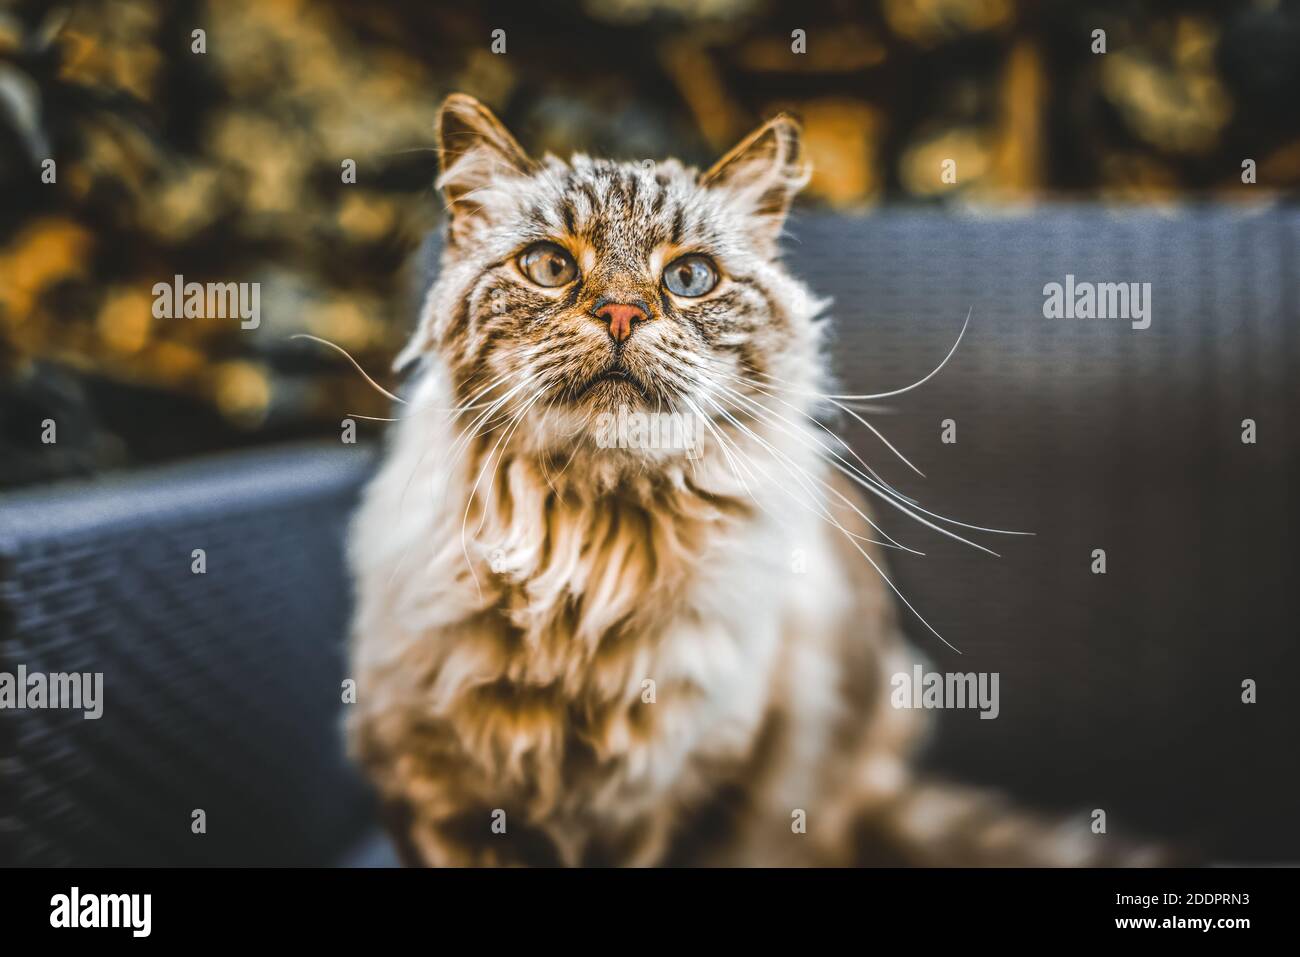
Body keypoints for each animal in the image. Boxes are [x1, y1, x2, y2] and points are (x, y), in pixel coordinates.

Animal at [348, 95, 1159, 868]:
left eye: (689, 278)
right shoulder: (435, 801)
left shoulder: (679, 802)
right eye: (550, 267)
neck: (588, 568)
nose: (621, 313)